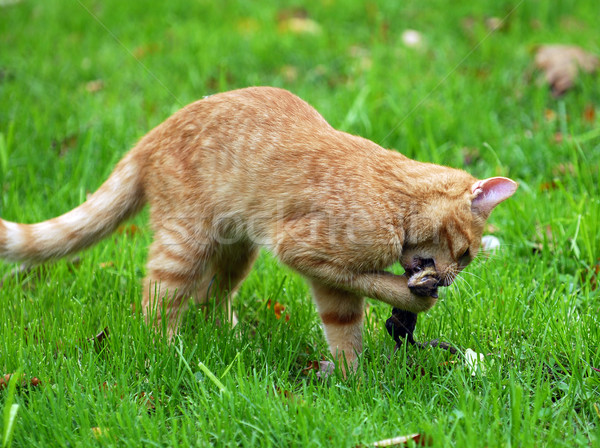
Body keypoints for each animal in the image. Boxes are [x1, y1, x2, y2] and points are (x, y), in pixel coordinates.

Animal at [0, 86, 516, 372]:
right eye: (466, 255)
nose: (451, 277)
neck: (396, 200)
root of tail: (153, 133)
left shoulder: (329, 281)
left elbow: (344, 329)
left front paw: (353, 381)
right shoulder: (302, 251)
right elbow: (379, 285)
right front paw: (414, 299)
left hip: (235, 251)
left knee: (210, 297)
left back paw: (229, 339)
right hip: (183, 245)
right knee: (157, 302)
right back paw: (167, 351)